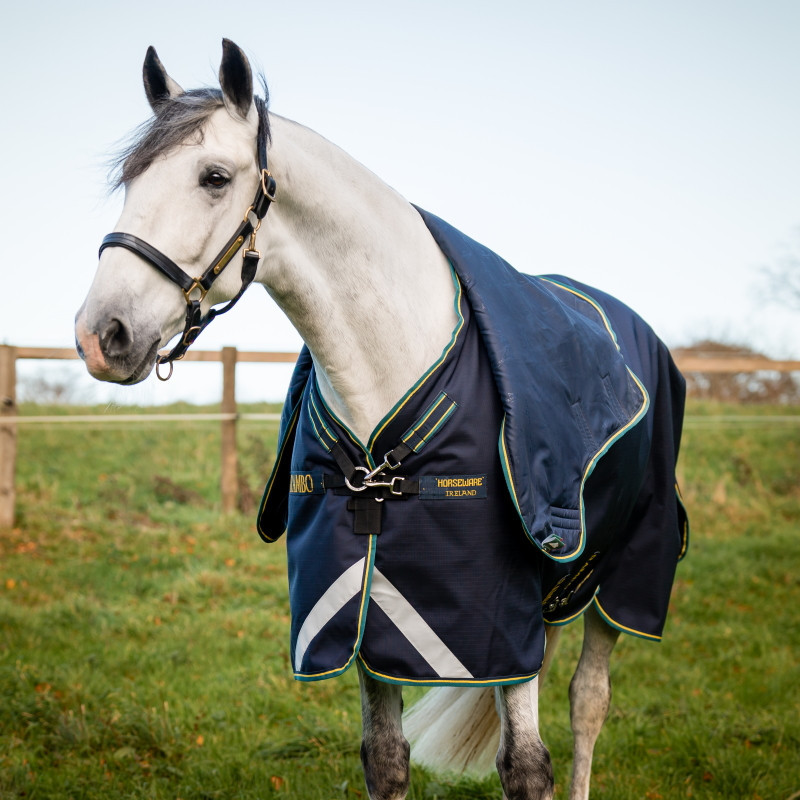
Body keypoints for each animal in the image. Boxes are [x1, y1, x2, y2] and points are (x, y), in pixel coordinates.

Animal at [75, 40, 688, 800]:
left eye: (213, 177)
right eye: (130, 182)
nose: (101, 335)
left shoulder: (495, 614)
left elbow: (526, 767)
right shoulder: (368, 611)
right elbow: (386, 757)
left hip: (625, 572)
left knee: (588, 702)